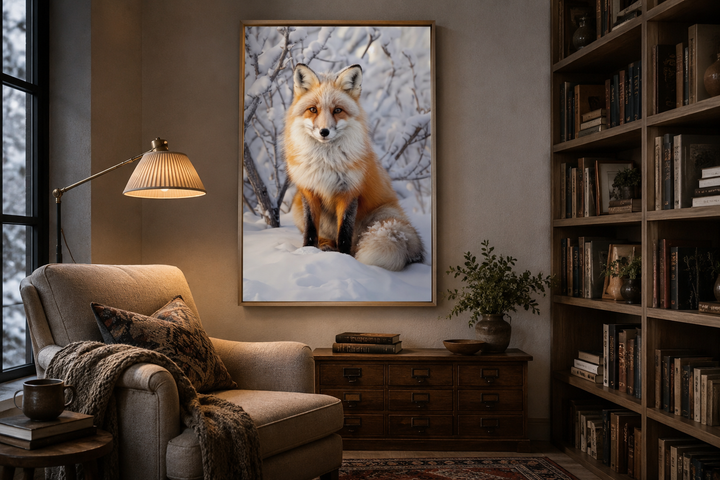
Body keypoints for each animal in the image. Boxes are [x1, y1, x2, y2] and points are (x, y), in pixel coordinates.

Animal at [284, 63, 425, 271]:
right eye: (313, 109)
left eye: (337, 110)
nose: (324, 131)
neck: (325, 161)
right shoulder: (309, 191)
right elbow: (310, 231)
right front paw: (307, 252)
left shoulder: (348, 192)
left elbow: (344, 234)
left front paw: (344, 260)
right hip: (296, 206)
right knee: (325, 236)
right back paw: (325, 245)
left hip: (380, 218)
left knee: (354, 241)